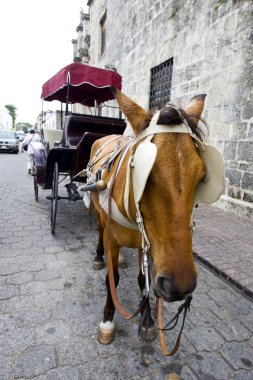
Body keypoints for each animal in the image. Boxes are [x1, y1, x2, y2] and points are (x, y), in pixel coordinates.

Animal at [89, 90, 208, 344]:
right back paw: (98, 256)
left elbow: (144, 280)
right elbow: (112, 278)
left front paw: (147, 320)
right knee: (100, 230)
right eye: (146, 175)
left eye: (202, 176)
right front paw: (107, 319)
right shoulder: (113, 237)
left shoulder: (152, 244)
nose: (180, 285)